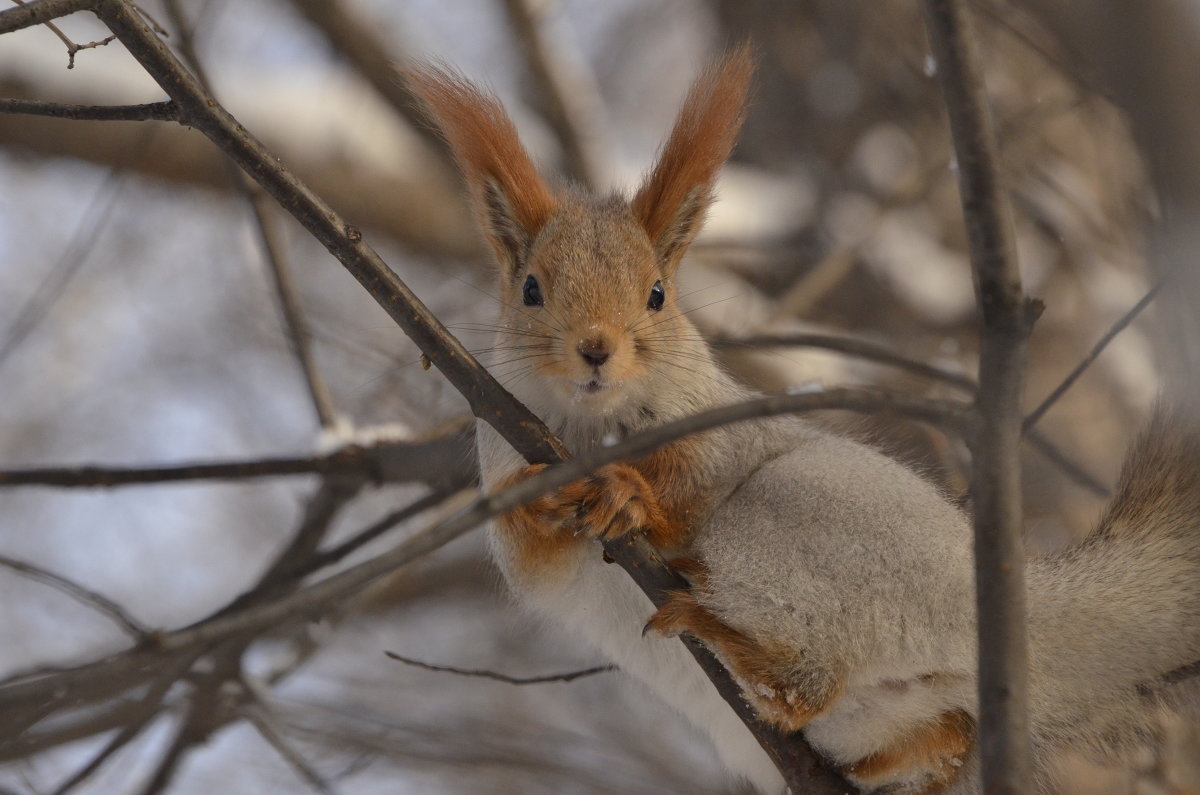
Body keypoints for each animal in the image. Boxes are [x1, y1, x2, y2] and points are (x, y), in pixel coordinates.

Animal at [403, 46, 1200, 792]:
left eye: (658, 293)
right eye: (532, 290)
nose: (596, 348)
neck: (587, 429)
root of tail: (1018, 620)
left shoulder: (718, 434)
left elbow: (688, 486)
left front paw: (630, 495)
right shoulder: (505, 458)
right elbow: (530, 554)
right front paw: (540, 497)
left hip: (785, 523)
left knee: (805, 686)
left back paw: (712, 622)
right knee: (916, 731)